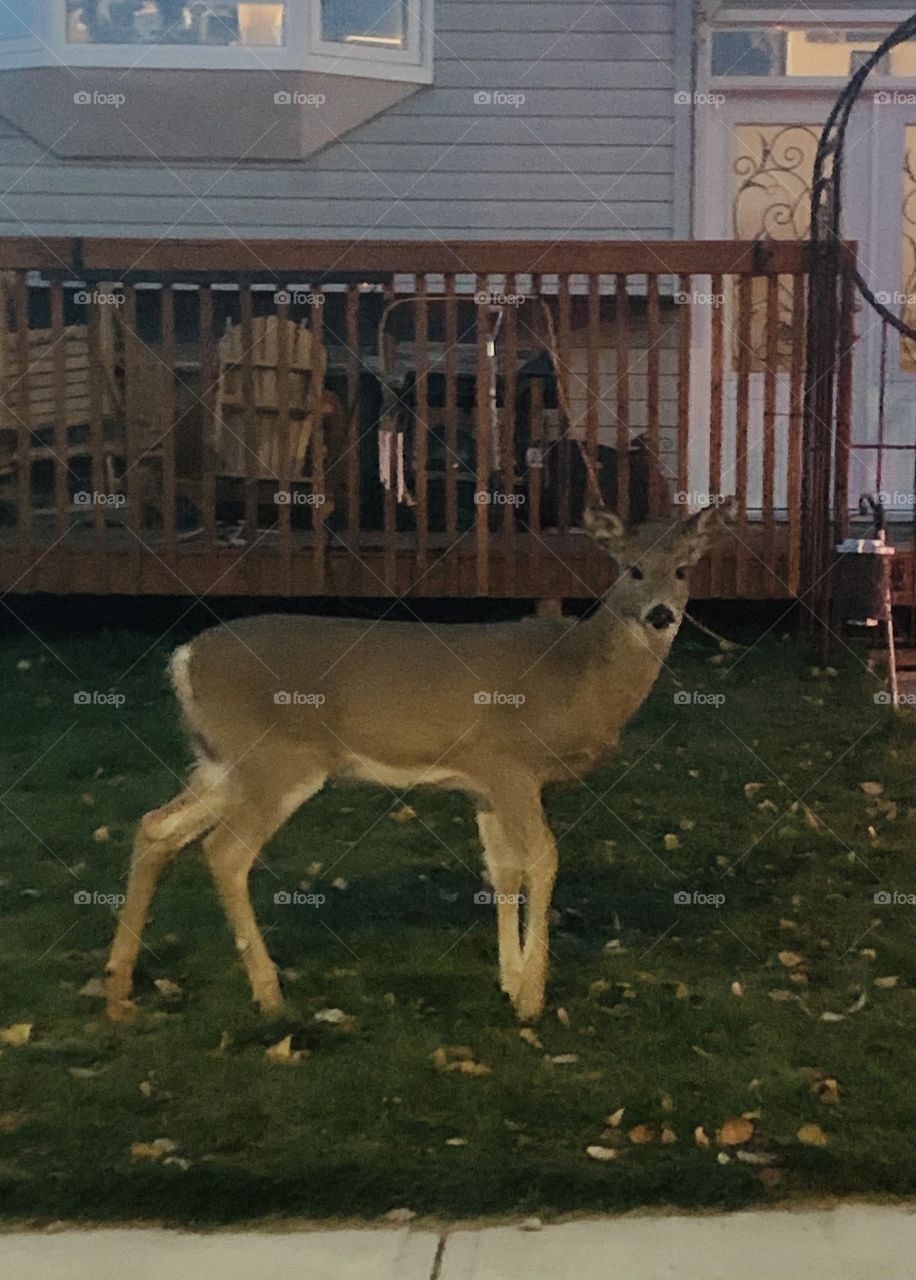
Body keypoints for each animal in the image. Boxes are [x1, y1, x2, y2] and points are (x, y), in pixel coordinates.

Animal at [103, 504, 731, 1024]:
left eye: (682, 571)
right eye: (632, 570)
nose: (659, 615)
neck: (579, 677)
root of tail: (185, 659)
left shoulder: (483, 783)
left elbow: (503, 868)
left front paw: (509, 981)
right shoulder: (507, 761)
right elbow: (544, 858)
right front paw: (532, 998)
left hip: (221, 763)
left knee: (156, 827)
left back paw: (119, 989)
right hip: (276, 759)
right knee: (225, 853)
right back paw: (270, 995)